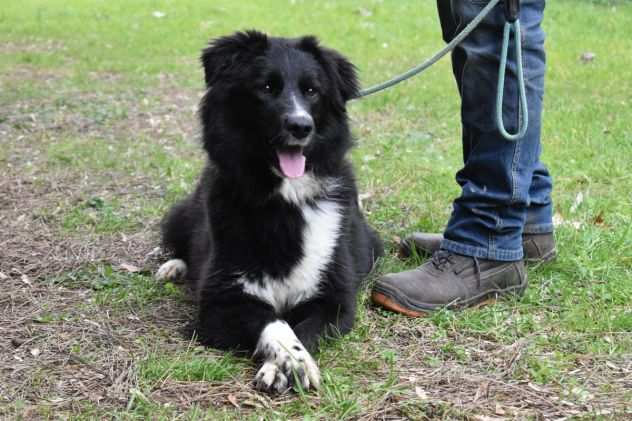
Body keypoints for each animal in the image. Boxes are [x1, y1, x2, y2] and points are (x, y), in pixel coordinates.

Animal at [157, 30, 386, 394]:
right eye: (266, 87)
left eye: (312, 91)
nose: (301, 126)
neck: (284, 200)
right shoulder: (220, 302)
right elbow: (274, 322)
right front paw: (288, 361)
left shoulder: (335, 301)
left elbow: (303, 330)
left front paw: (288, 364)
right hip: (182, 214)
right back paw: (173, 266)